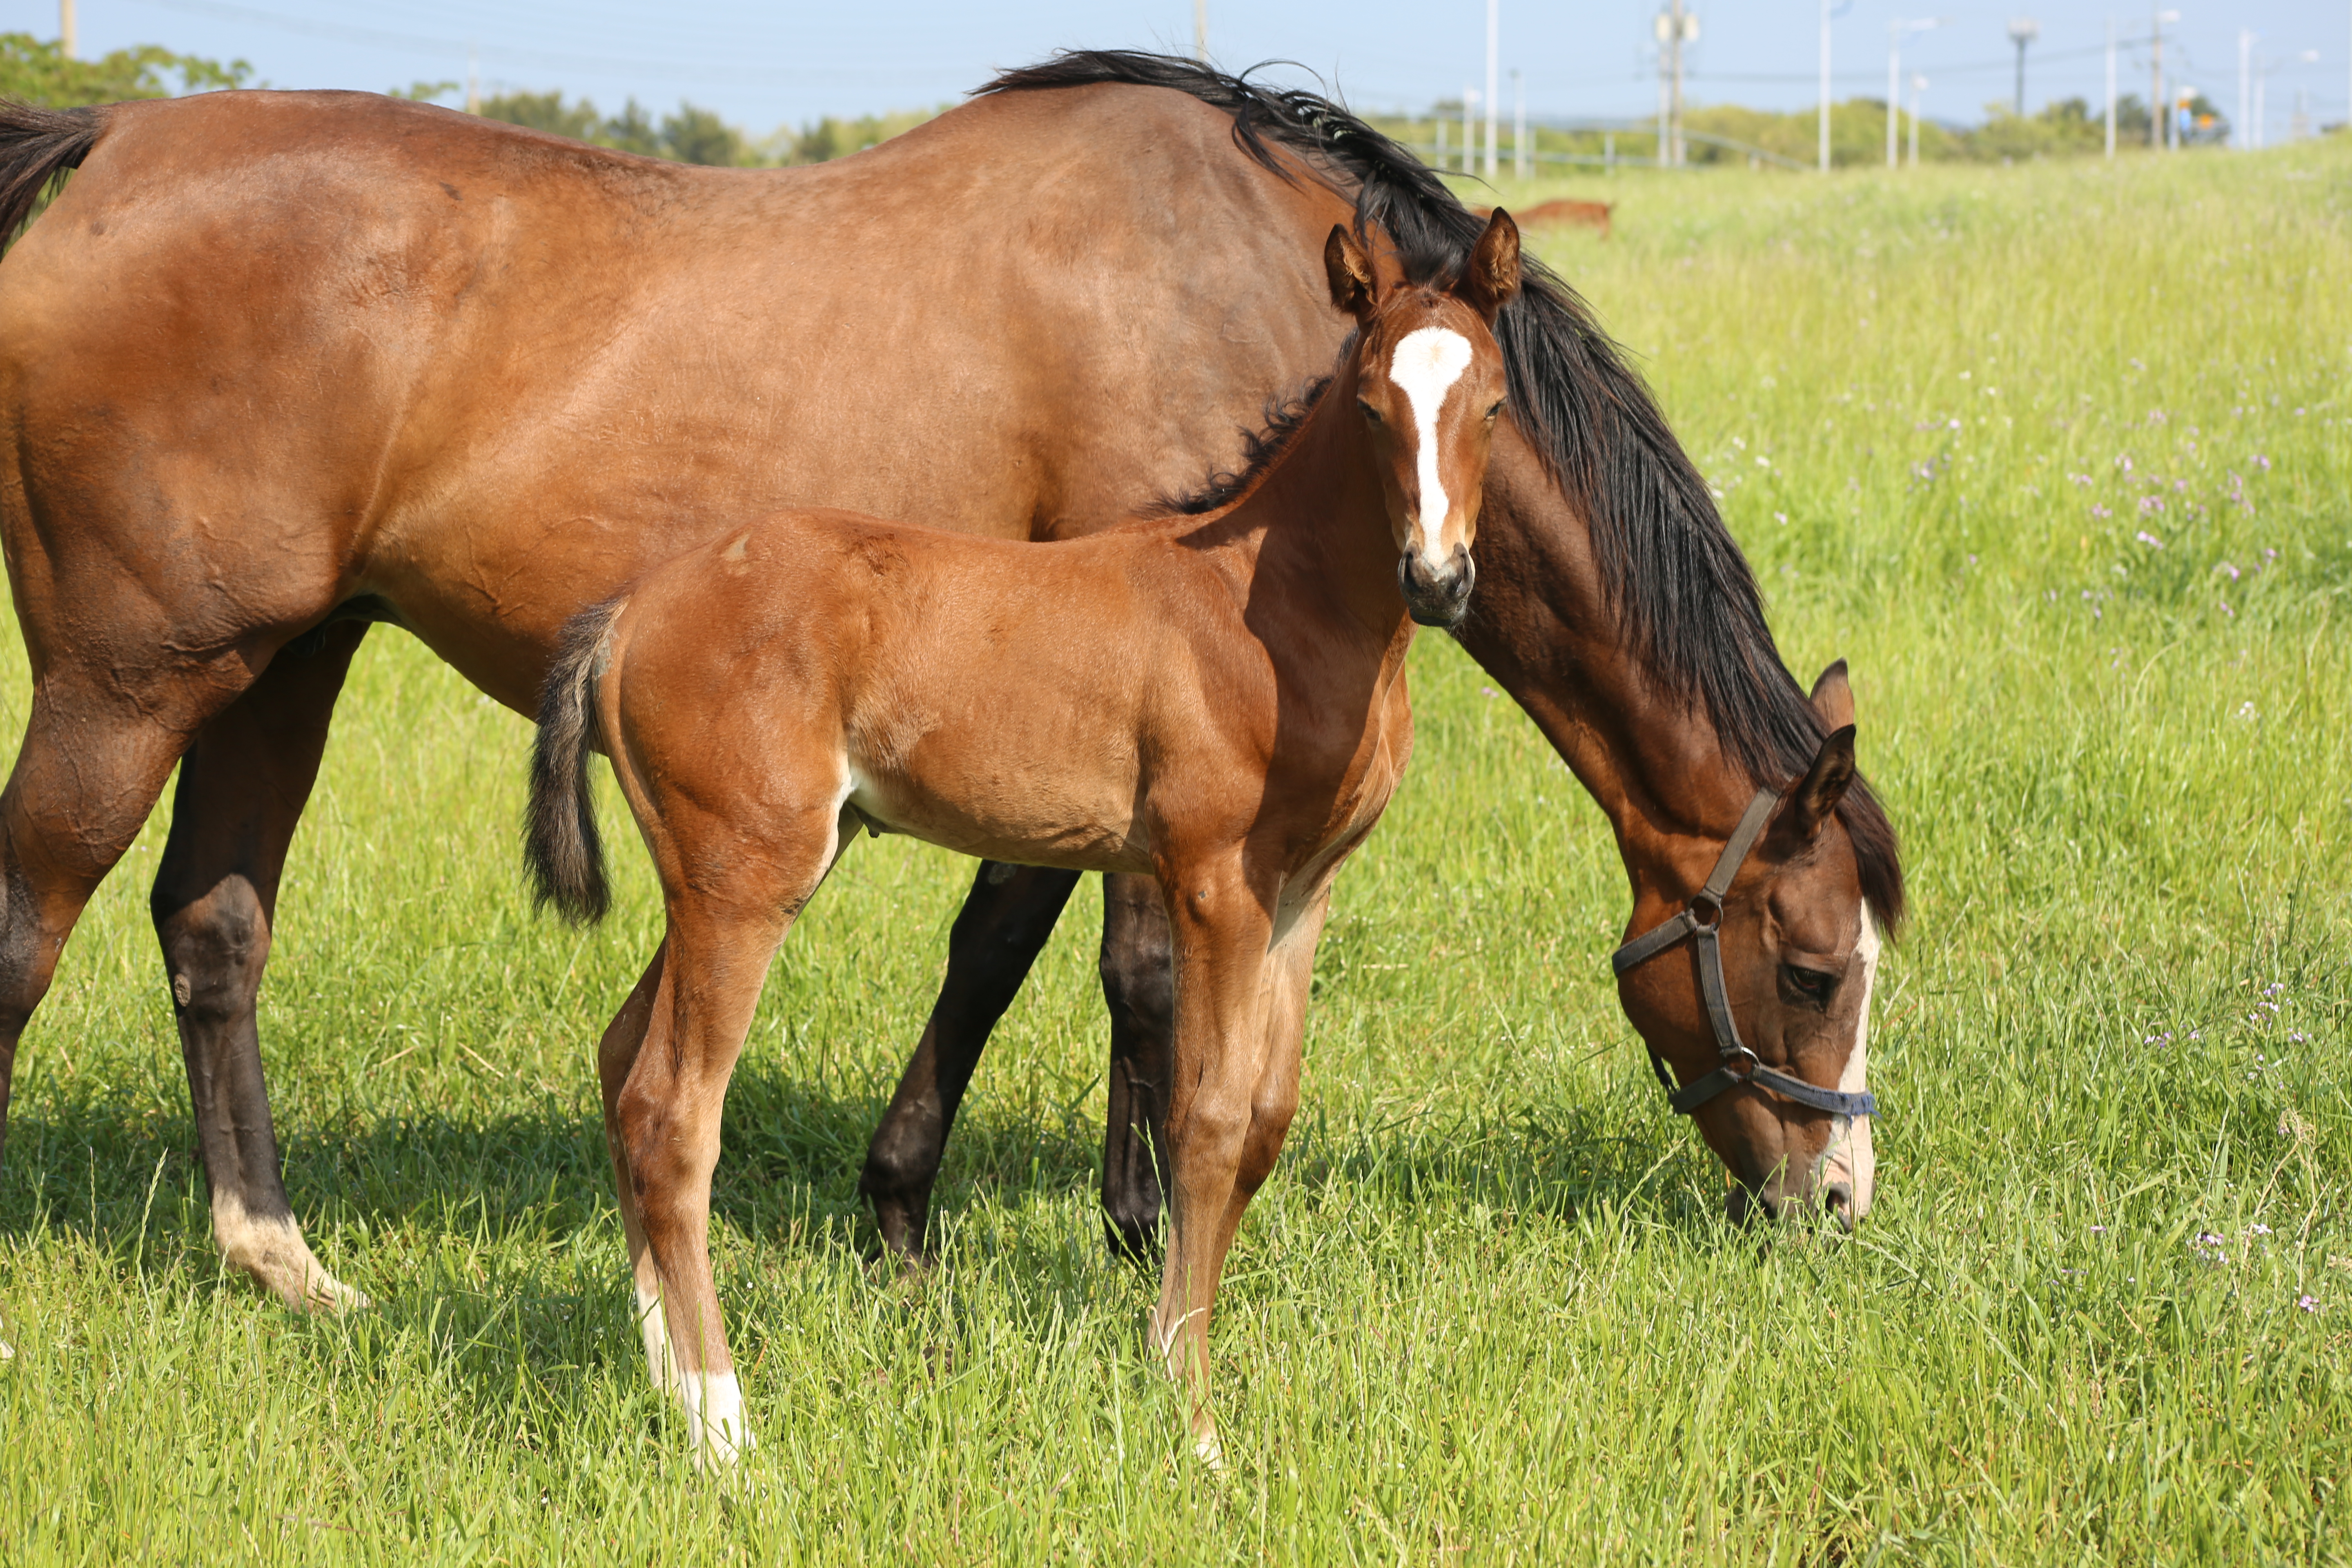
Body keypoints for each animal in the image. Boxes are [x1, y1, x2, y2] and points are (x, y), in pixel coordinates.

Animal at [0, 49, 1891, 1326]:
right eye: (1806, 969)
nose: (1838, 1201)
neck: (1256, 291)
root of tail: (112, 146)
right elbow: (1125, 969)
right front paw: (1126, 1231)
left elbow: (997, 945)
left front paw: (904, 1215)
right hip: (125, 681)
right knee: (38, 922)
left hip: (278, 663)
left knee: (212, 928)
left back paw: (282, 1262)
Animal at [527, 215, 1524, 1467]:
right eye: (1368, 404)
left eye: (1491, 402)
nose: (1436, 580)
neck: (1268, 604)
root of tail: (631, 611)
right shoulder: (1214, 882)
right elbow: (1205, 1120)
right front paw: (1192, 1418)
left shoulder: (1305, 891)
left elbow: (1266, 1120)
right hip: (743, 881)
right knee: (671, 1111)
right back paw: (723, 1425)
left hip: (726, 871)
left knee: (621, 1063)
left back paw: (665, 1378)